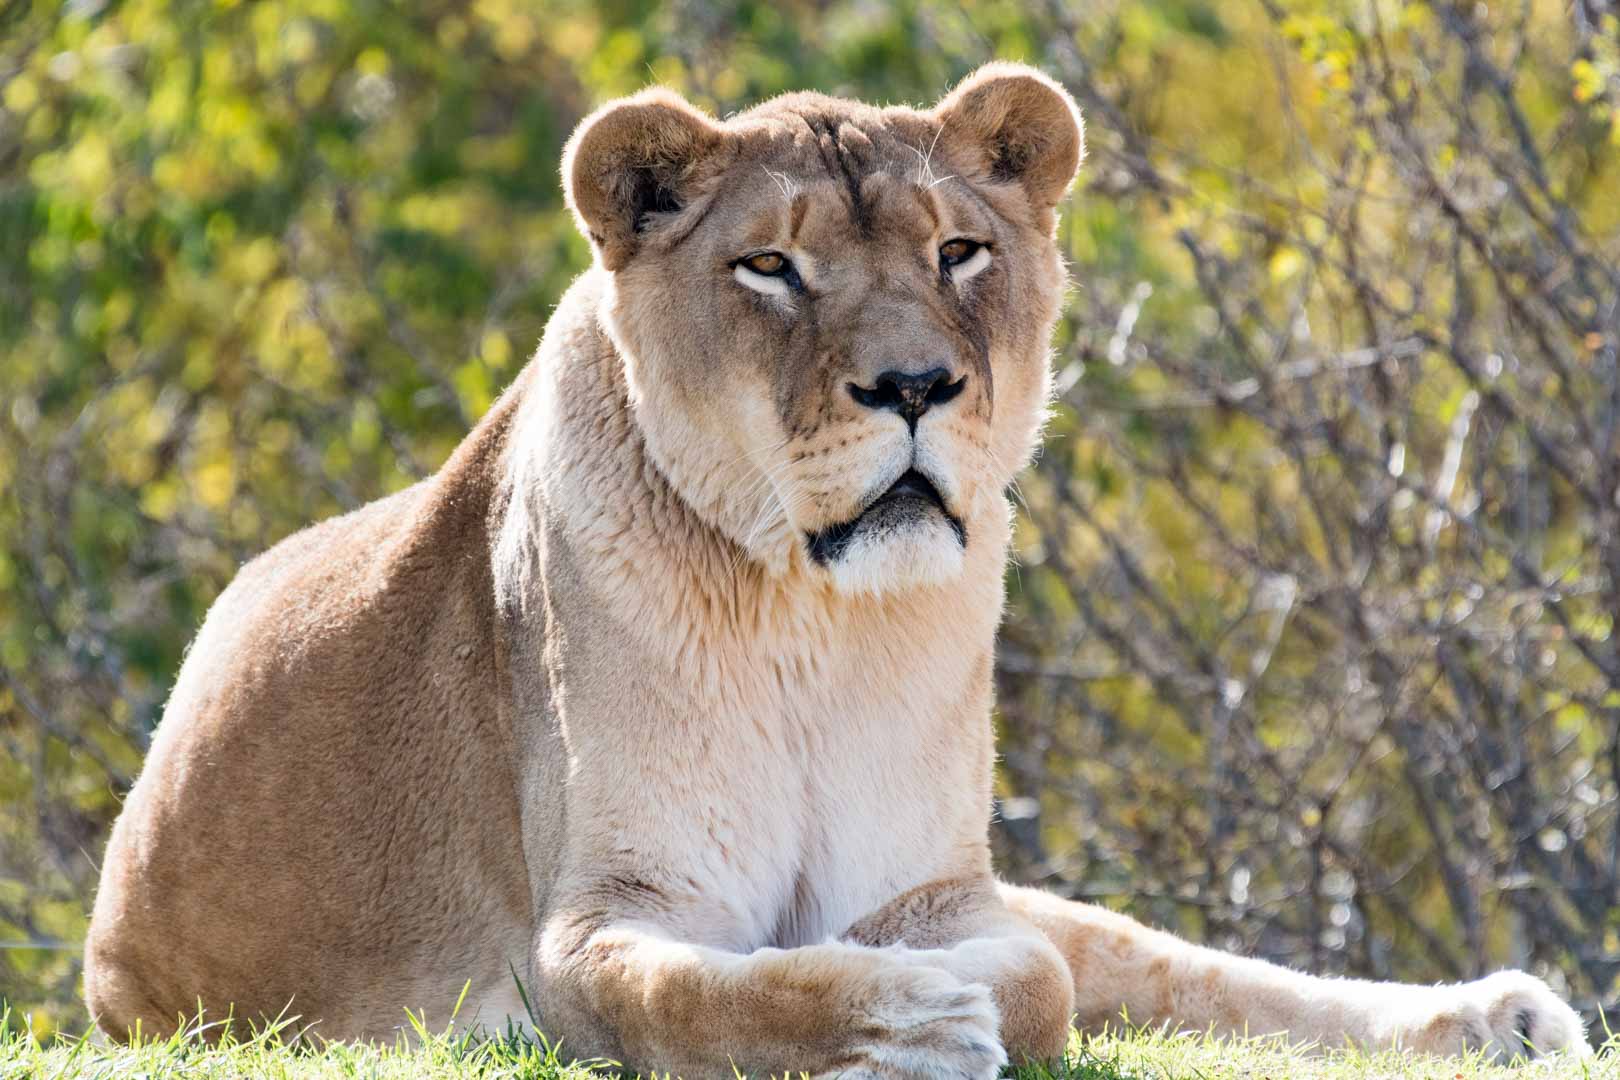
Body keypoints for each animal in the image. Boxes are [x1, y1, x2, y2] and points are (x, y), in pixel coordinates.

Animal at [84, 64, 1588, 1074]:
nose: (916, 384)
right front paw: (907, 1017)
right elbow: (716, 994)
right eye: (771, 268)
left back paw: (1504, 1015)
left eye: (958, 250)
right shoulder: (597, 926)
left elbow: (1045, 975)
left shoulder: (933, 889)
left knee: (1153, 964)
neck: (817, 624)